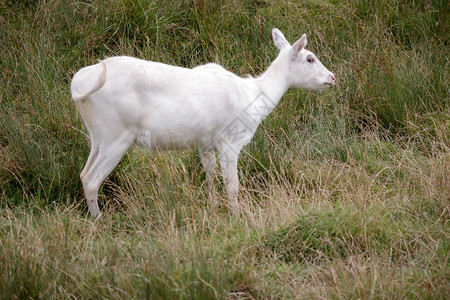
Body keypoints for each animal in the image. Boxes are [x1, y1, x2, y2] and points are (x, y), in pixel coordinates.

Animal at [70, 28, 336, 217]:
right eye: (310, 58)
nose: (332, 77)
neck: (254, 94)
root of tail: (79, 85)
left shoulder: (205, 143)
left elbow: (209, 175)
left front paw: (212, 206)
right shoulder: (230, 142)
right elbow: (232, 184)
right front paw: (236, 218)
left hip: (98, 137)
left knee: (83, 174)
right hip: (117, 136)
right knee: (92, 181)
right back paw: (99, 220)